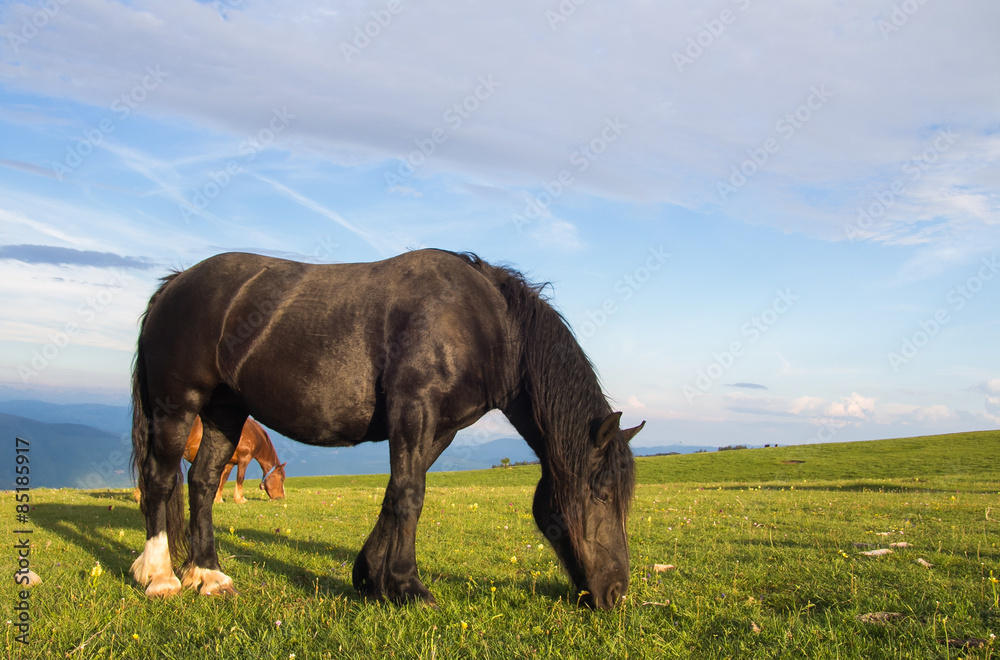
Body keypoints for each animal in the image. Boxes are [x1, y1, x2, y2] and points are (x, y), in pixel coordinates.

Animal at [129, 251, 644, 608]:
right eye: (601, 494)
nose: (617, 593)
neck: (479, 319)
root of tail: (175, 283)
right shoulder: (414, 409)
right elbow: (411, 495)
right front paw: (407, 585)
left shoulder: (438, 428)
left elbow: (397, 492)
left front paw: (372, 576)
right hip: (179, 406)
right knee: (160, 481)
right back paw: (161, 576)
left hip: (224, 412)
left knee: (201, 483)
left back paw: (208, 575)